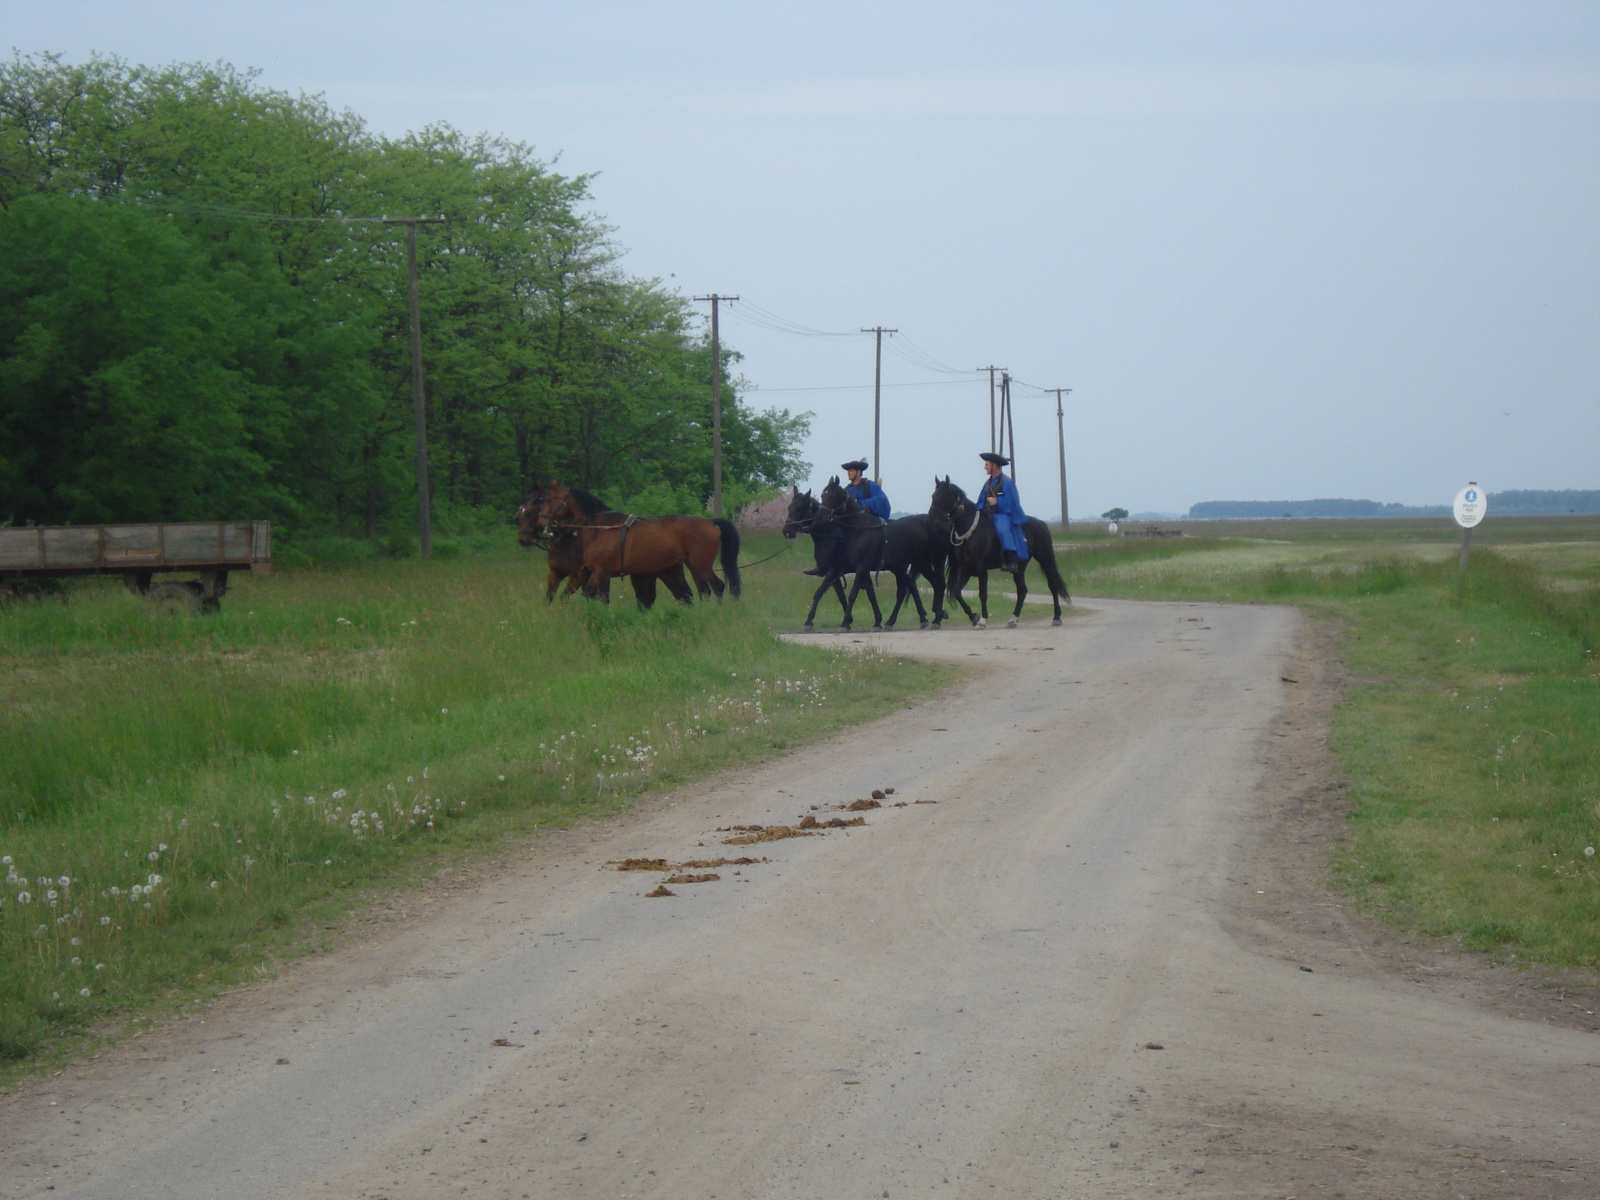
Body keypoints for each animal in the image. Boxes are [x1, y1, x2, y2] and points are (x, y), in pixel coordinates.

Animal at [531, 483, 742, 604]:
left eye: (550, 499)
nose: (541, 522)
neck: (601, 527)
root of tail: (710, 523)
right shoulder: (597, 574)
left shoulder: (602, 572)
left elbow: (596, 596)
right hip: (691, 565)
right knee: (702, 590)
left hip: (701, 565)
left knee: (717, 586)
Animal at [928, 476, 1075, 633]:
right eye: (933, 496)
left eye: (944, 496)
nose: (930, 519)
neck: (970, 530)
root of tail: (1041, 523)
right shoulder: (965, 569)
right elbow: (957, 592)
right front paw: (974, 617)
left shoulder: (981, 568)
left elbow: (983, 594)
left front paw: (982, 620)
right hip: (1019, 567)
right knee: (1022, 590)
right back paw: (1013, 619)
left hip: (1045, 558)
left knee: (1052, 585)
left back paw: (1057, 617)